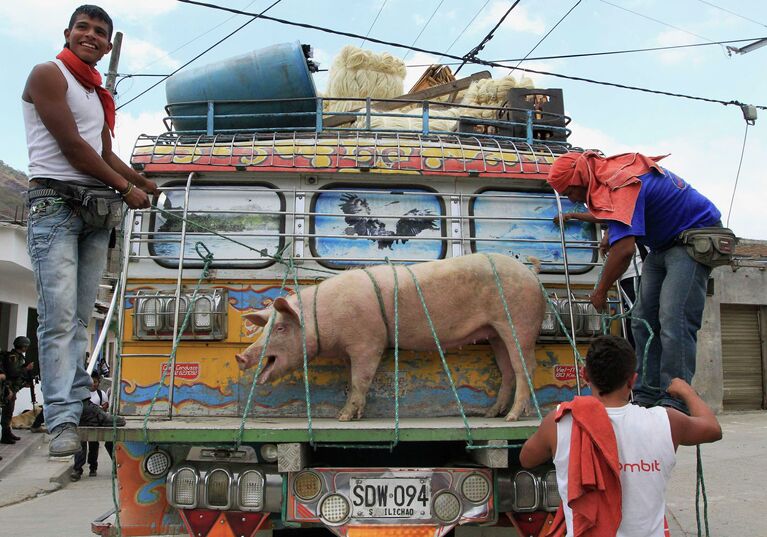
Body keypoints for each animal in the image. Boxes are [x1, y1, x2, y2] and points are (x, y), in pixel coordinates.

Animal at [236, 253, 544, 420]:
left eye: (281, 328)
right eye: (266, 327)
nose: (241, 356)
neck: (324, 316)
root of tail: (531, 274)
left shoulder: (368, 342)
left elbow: (361, 379)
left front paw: (343, 418)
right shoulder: (350, 349)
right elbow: (352, 380)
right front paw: (350, 414)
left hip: (519, 321)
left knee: (525, 367)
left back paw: (513, 417)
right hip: (495, 332)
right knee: (507, 369)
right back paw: (492, 414)